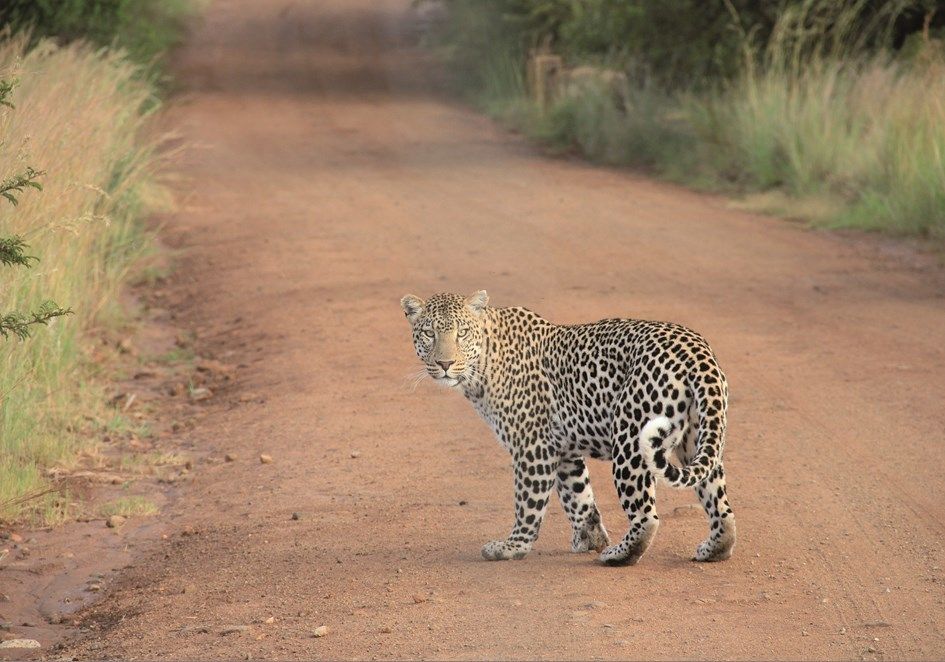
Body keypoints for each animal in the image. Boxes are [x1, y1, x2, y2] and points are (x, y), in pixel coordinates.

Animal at [402, 290, 732, 564]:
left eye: (462, 333)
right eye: (429, 333)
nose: (445, 364)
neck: (483, 363)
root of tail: (697, 351)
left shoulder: (532, 446)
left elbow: (528, 503)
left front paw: (512, 547)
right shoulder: (563, 450)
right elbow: (579, 497)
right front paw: (590, 539)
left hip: (630, 441)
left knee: (646, 516)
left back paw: (619, 555)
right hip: (697, 439)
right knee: (720, 504)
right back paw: (714, 548)